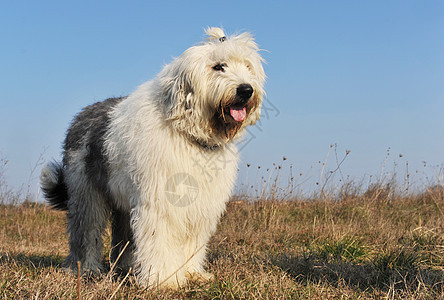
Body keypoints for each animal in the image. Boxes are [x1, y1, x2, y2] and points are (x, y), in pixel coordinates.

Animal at [40, 27, 266, 288]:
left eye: (248, 66)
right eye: (218, 66)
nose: (246, 90)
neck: (187, 132)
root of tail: (82, 114)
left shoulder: (200, 204)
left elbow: (191, 240)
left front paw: (191, 273)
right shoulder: (162, 200)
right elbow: (160, 238)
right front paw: (165, 279)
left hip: (123, 200)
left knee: (123, 236)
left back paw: (125, 267)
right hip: (85, 192)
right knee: (86, 230)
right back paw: (85, 268)